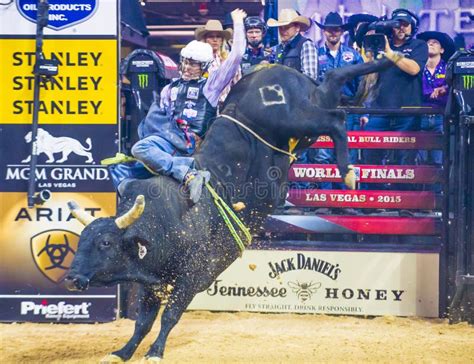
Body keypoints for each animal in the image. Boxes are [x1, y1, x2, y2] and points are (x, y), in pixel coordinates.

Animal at [65, 59, 392, 362]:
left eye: (106, 243)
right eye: (82, 240)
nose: (70, 278)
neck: (167, 221)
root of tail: (275, 70)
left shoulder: (194, 276)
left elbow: (171, 314)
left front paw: (156, 352)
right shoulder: (152, 281)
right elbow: (143, 322)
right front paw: (122, 352)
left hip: (294, 119)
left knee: (336, 119)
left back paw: (348, 172)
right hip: (308, 120)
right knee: (334, 86)